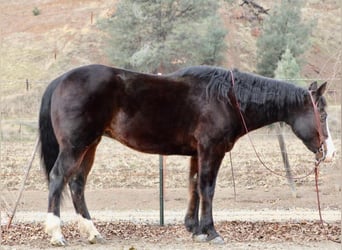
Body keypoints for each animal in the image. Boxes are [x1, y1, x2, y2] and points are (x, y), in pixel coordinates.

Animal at [39, 63, 334, 245]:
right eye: (322, 114)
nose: (329, 153)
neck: (227, 98)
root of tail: (61, 80)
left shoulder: (197, 153)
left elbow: (194, 186)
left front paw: (194, 229)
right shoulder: (211, 150)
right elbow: (207, 188)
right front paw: (211, 231)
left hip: (90, 146)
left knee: (77, 184)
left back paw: (92, 233)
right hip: (76, 146)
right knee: (58, 178)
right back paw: (56, 234)